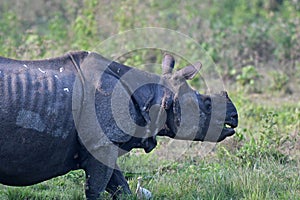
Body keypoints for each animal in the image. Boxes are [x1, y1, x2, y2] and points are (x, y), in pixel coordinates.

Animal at [0, 51, 239, 198]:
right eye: (207, 104)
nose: (234, 116)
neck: (157, 95)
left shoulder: (105, 143)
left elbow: (121, 187)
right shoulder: (101, 143)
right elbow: (96, 190)